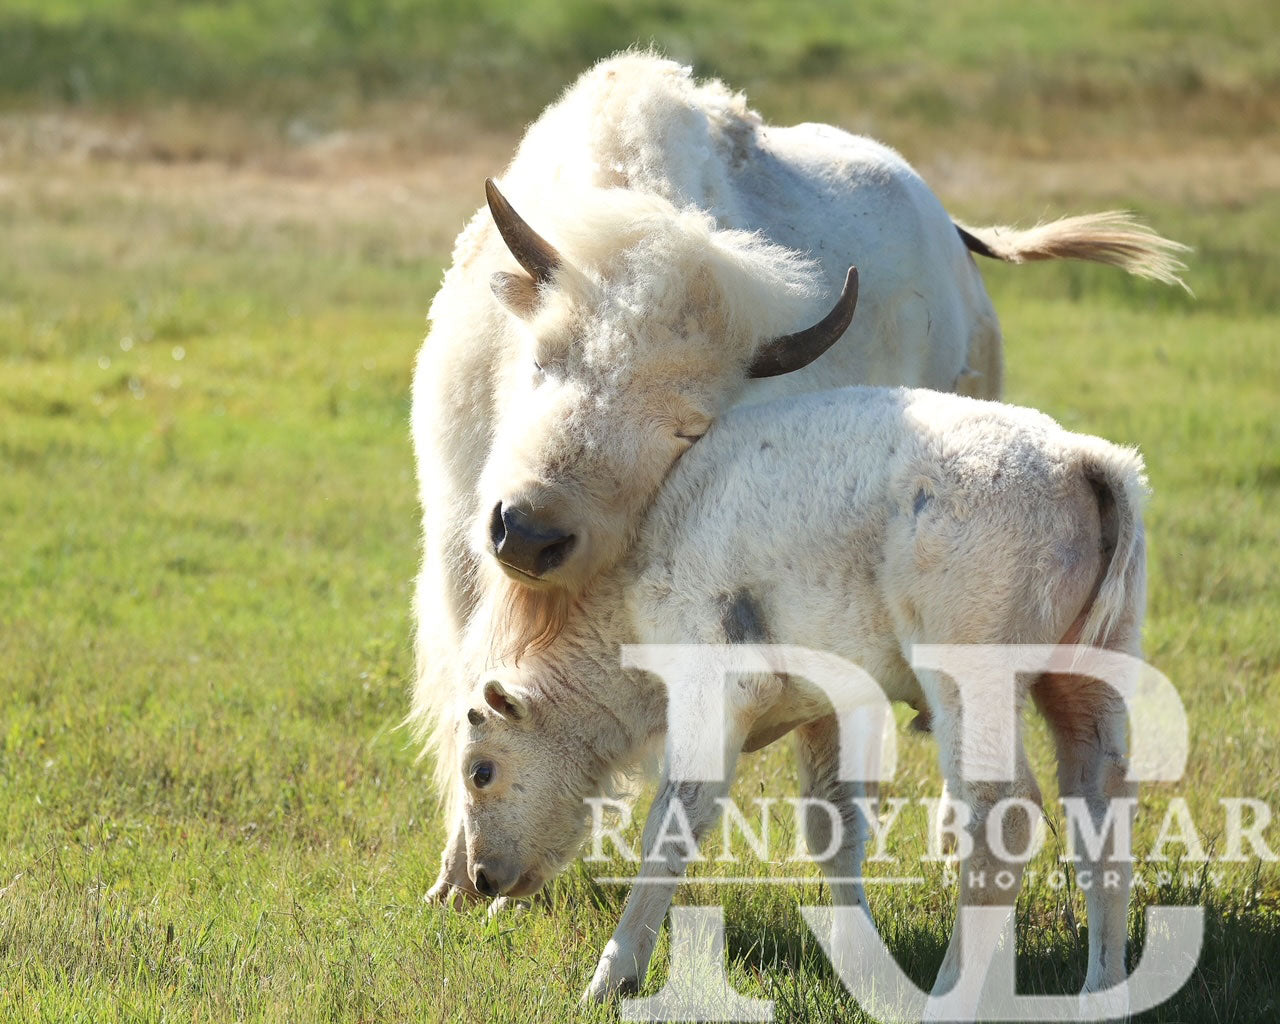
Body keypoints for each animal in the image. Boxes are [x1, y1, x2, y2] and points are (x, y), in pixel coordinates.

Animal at [414, 51, 1182, 901]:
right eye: (545, 358)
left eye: (690, 425)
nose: (530, 534)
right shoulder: (459, 546)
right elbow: (467, 685)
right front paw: (450, 883)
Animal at [448, 348, 1141, 1003]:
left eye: (482, 771)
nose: (484, 879)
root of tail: (1079, 459)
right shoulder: (826, 708)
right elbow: (833, 827)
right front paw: (861, 960)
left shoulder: (713, 690)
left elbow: (675, 821)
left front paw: (612, 976)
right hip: (1088, 680)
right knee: (1099, 808)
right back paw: (1099, 994)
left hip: (972, 685)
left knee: (1004, 817)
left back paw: (946, 998)